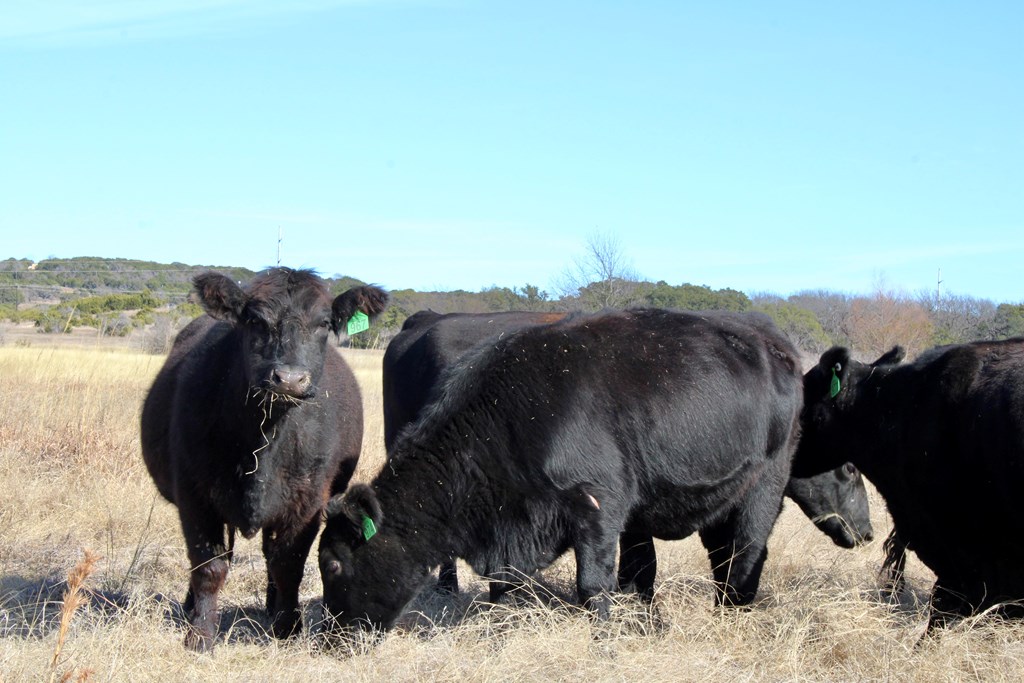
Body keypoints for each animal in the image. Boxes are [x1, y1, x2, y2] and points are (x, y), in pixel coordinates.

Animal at [140, 266, 387, 651]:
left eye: (324, 323)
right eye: (254, 320)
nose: (289, 378)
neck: (265, 439)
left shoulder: (307, 502)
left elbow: (287, 565)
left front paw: (288, 628)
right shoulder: (195, 498)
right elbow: (209, 566)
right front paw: (200, 634)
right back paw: (191, 606)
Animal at [321, 307, 806, 634]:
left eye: (332, 564)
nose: (328, 635)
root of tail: (771, 338)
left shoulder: (598, 507)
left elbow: (593, 586)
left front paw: (604, 643)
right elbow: (506, 585)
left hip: (765, 484)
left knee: (745, 553)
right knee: (714, 559)